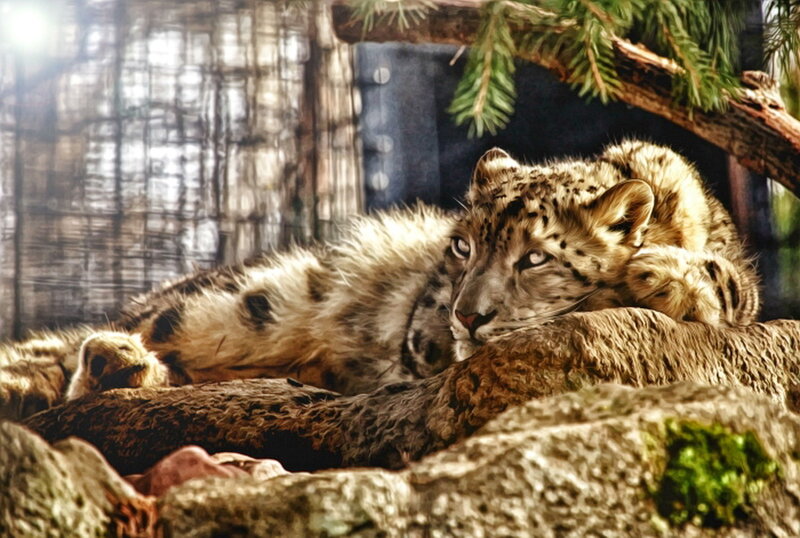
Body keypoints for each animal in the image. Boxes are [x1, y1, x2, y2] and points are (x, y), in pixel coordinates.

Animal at [0, 140, 760, 420]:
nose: (467, 316)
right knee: (79, 353)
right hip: (244, 303)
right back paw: (112, 361)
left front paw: (665, 273)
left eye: (535, 258)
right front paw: (652, 273)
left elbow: (734, 285)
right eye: (461, 245)